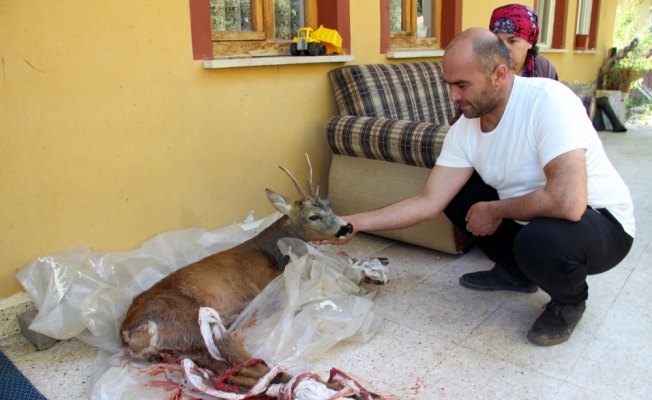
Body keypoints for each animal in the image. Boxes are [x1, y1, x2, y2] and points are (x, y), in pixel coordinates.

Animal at [119, 156, 360, 396]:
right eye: (313, 216)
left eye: (328, 208)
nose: (348, 227)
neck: (272, 253)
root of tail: (130, 334)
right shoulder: (271, 286)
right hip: (197, 323)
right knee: (261, 368)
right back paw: (344, 388)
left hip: (189, 349)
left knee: (235, 372)